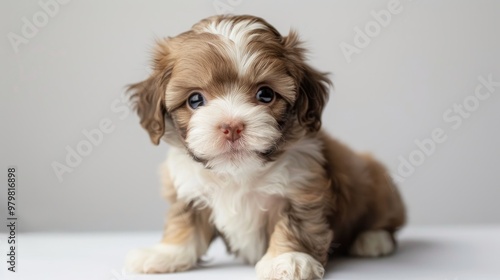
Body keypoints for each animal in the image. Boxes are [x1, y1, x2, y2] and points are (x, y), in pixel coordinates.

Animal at [125, 14, 406, 280]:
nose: (232, 126)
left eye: (265, 94)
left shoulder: (302, 186)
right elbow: (184, 221)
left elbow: (296, 224)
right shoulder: (189, 189)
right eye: (195, 99)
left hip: (376, 183)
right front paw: (165, 253)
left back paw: (373, 239)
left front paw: (289, 259)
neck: (237, 172)